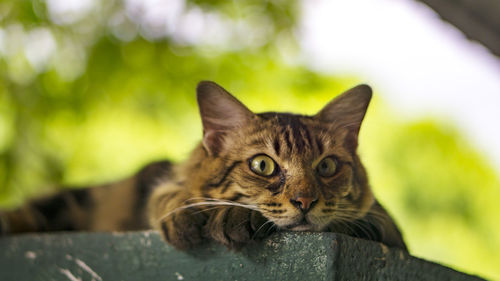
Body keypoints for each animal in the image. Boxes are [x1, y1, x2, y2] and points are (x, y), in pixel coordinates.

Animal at [0, 80, 406, 249]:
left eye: (326, 167)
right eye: (263, 165)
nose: (305, 201)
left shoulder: (385, 227)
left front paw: (232, 217)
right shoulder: (159, 182)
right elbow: (169, 196)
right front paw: (186, 214)